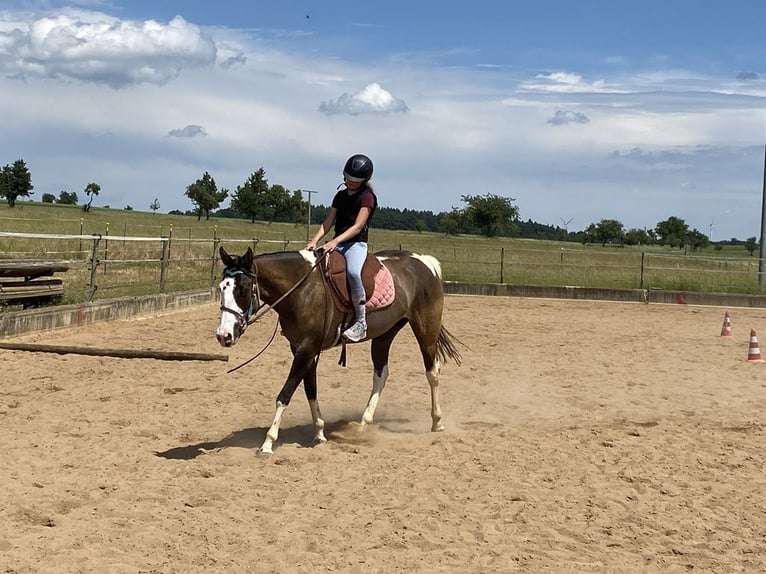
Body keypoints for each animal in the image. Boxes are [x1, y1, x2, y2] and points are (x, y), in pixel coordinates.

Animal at [216, 246, 462, 455]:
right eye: (221, 288)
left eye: (243, 289)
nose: (223, 335)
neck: (302, 289)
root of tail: (425, 262)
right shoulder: (302, 348)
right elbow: (310, 389)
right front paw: (319, 432)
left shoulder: (307, 347)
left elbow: (285, 394)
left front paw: (268, 442)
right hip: (384, 334)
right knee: (381, 375)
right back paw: (362, 425)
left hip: (426, 330)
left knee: (432, 372)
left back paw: (437, 422)